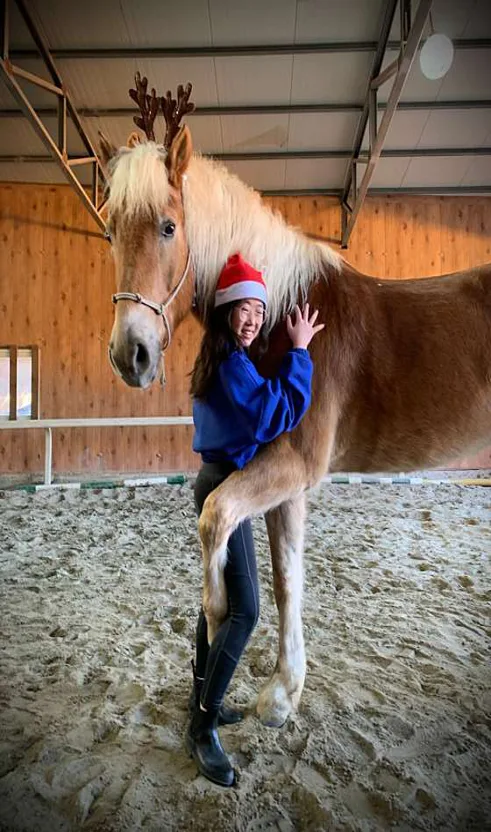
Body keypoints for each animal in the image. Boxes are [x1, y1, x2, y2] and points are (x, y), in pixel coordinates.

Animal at [101, 78, 491, 728]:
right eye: (109, 230)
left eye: (167, 227)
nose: (131, 354)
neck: (283, 312)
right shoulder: (283, 482)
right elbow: (286, 577)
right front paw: (284, 693)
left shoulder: (293, 466)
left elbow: (215, 518)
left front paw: (222, 626)